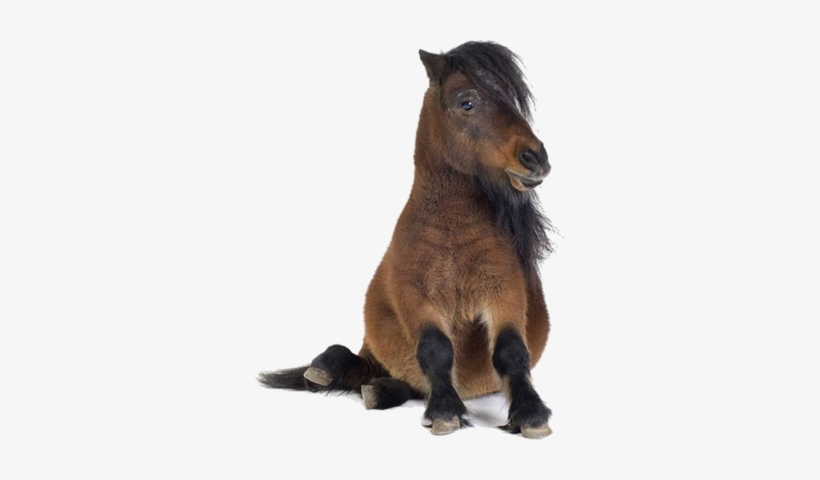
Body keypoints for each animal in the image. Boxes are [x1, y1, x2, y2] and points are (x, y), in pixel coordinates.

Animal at [259, 41, 554, 438]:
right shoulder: (414, 295)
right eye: (466, 102)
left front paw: (530, 414)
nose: (536, 158)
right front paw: (445, 411)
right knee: (355, 358)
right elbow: (435, 349)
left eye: (513, 101)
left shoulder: (504, 293)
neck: (452, 234)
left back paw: (379, 390)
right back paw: (324, 369)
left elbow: (510, 351)